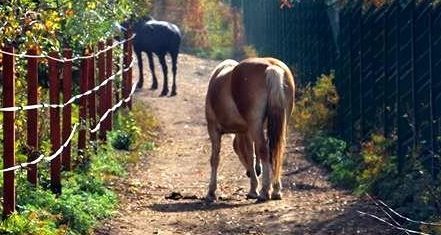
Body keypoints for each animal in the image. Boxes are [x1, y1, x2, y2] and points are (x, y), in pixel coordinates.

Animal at [205, 57, 294, 202]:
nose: (254, 172)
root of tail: (270, 67)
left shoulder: (214, 130)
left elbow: (215, 159)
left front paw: (211, 191)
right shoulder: (246, 132)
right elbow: (251, 155)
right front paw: (253, 188)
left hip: (255, 124)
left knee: (264, 150)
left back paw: (265, 191)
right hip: (278, 124)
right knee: (276, 151)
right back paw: (275, 190)